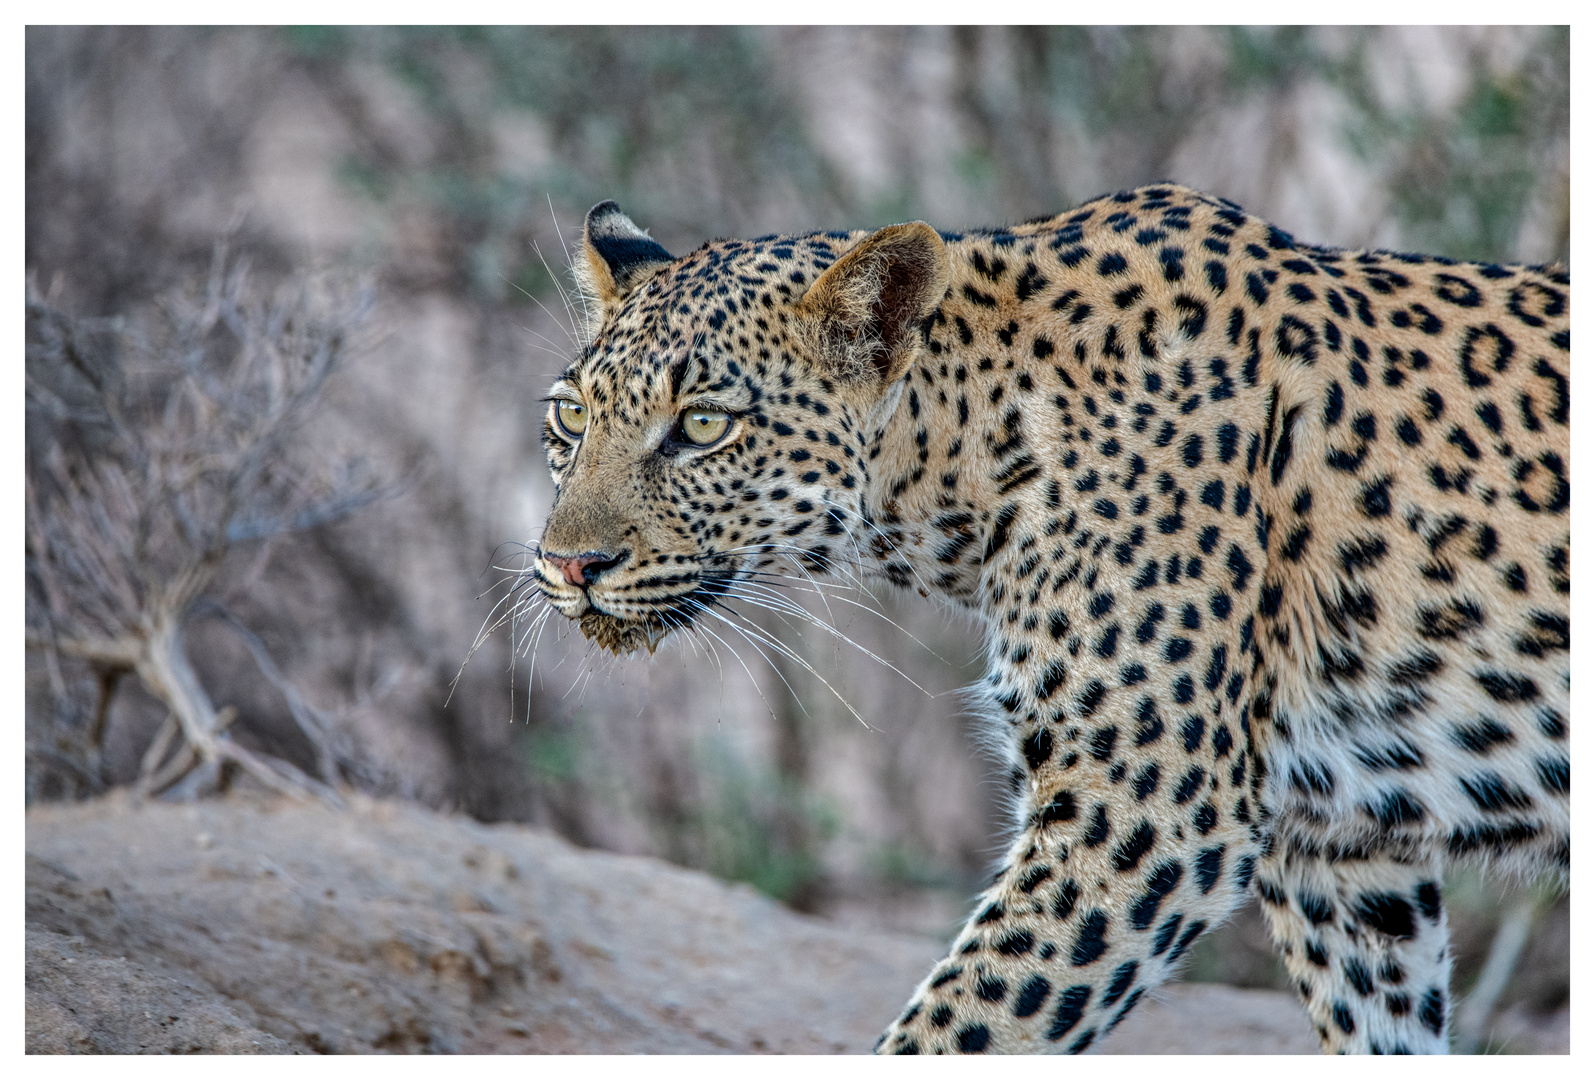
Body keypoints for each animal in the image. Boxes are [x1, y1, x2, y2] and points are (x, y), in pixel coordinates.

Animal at [526, 185, 1569, 1052]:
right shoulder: (1339, 845)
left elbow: (966, 1027)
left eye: (704, 427)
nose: (568, 565)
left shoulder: (1148, 807)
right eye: (570, 419)